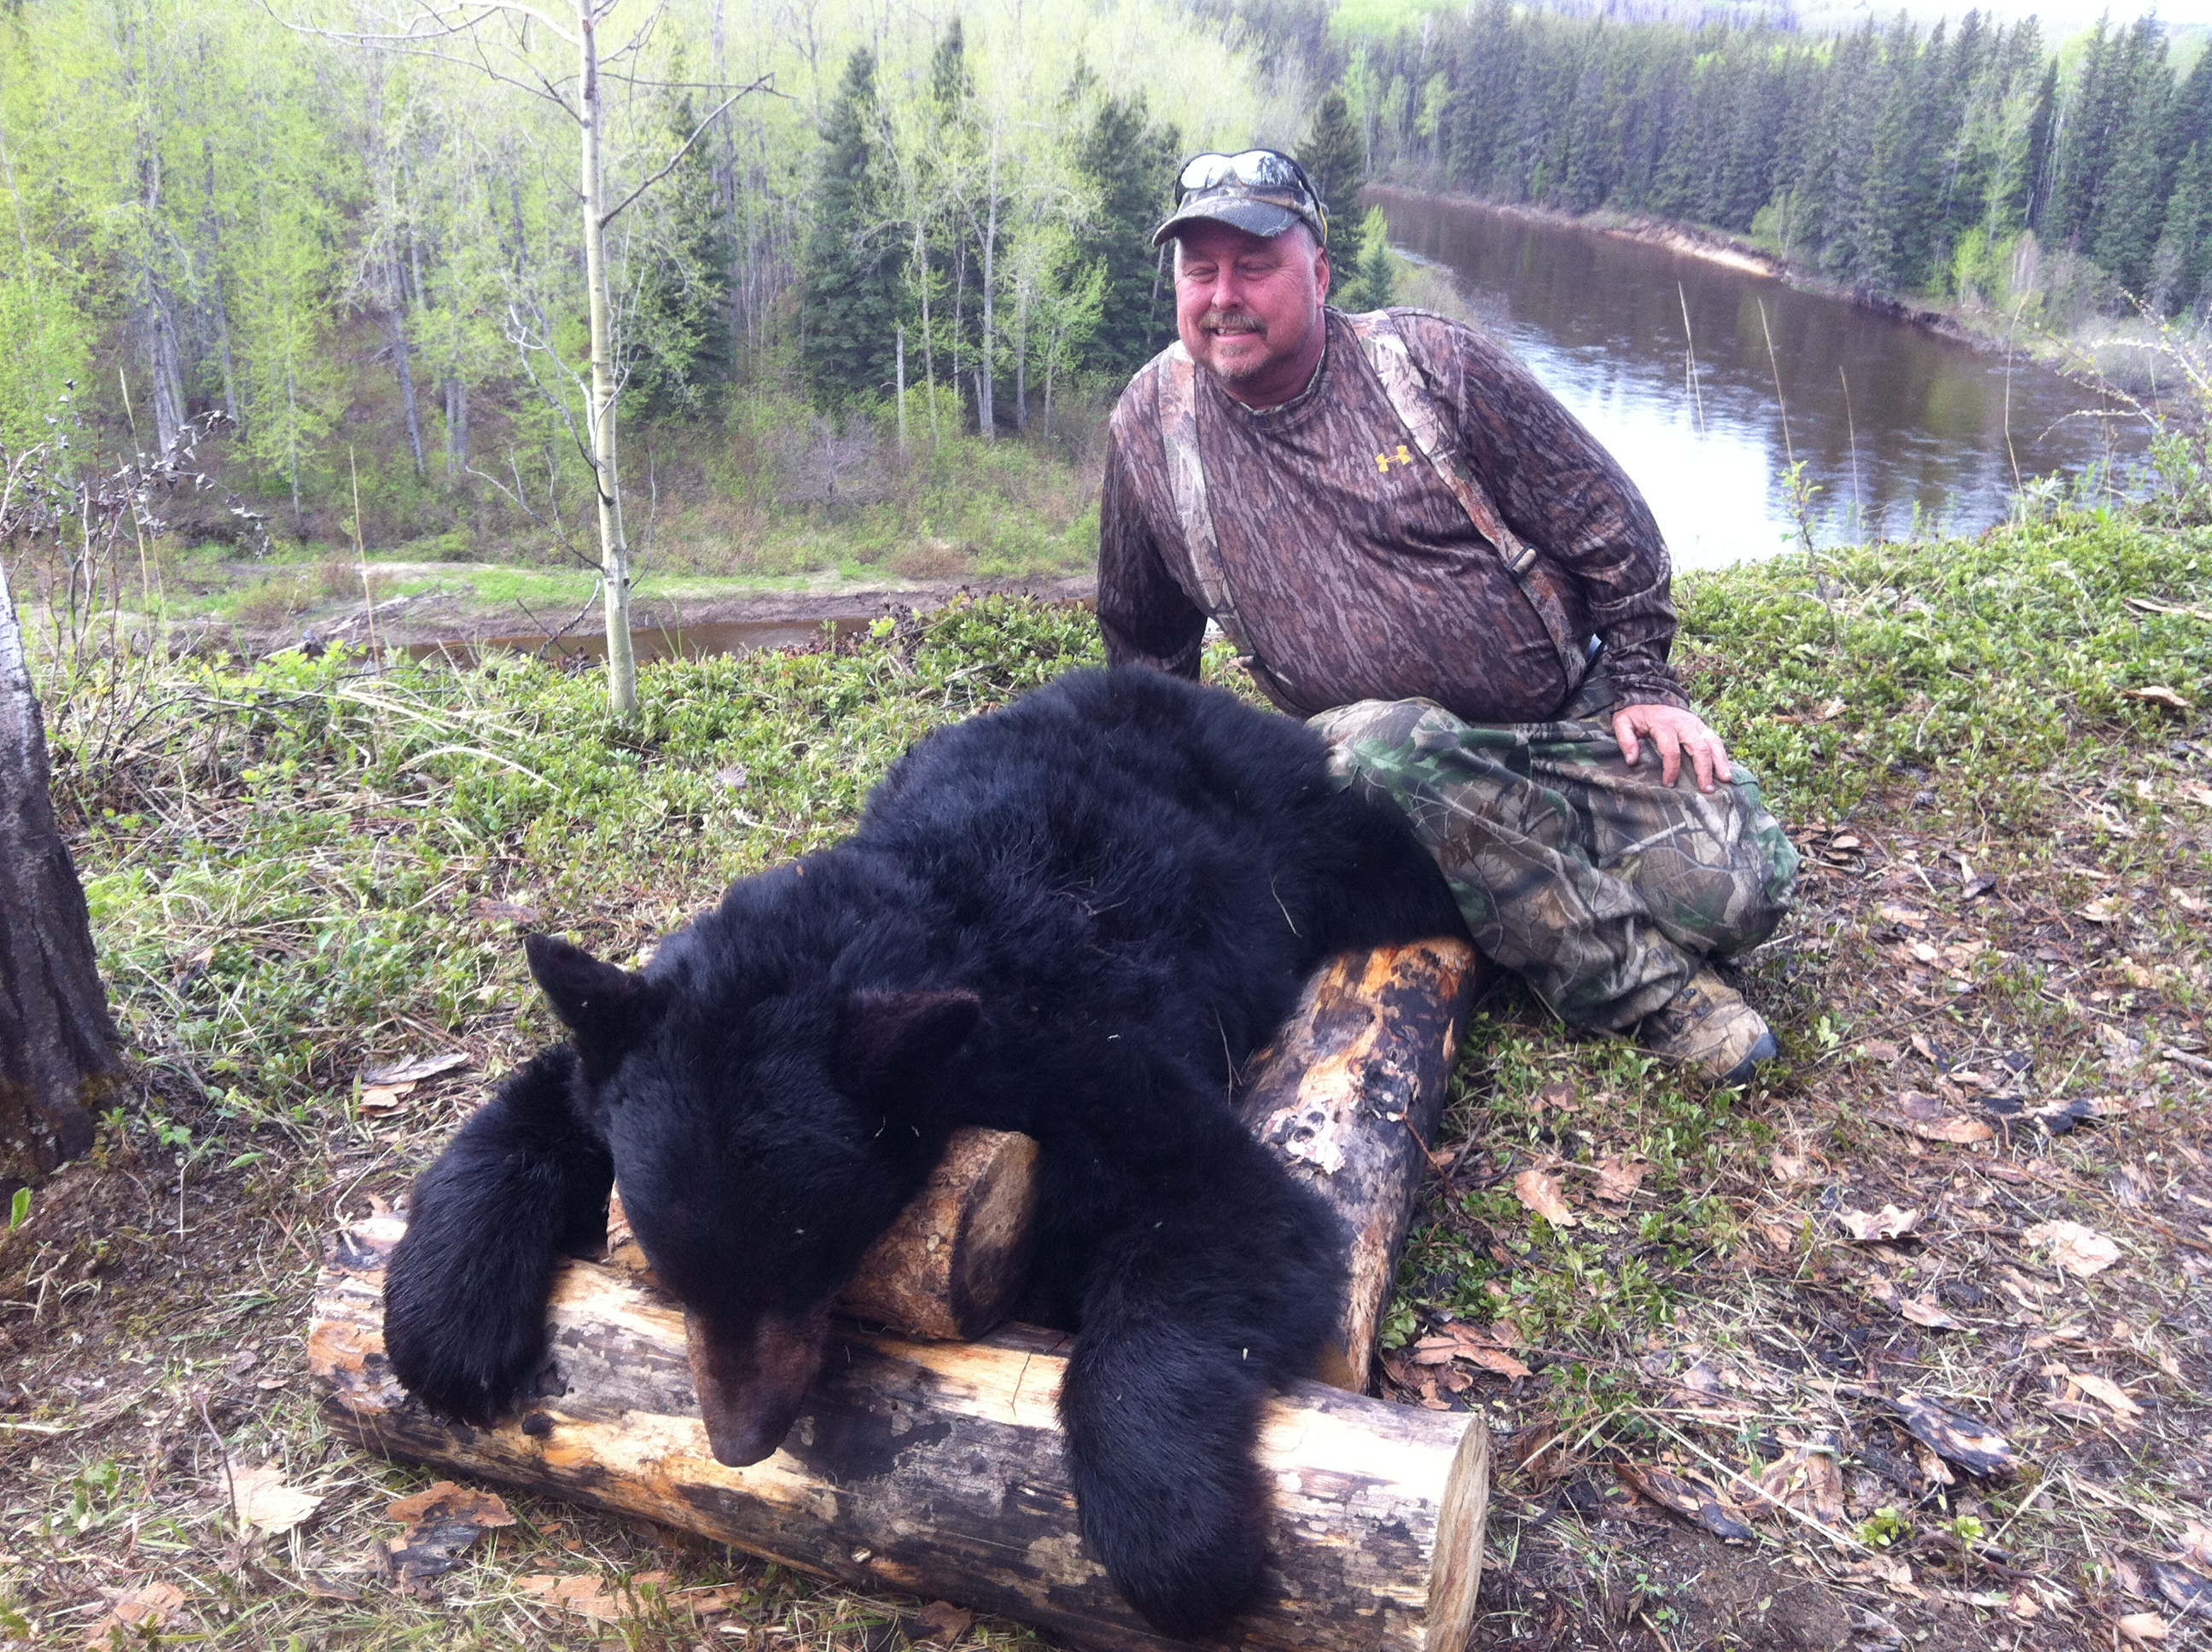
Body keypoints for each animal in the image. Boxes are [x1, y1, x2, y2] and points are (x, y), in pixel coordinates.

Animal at [382, 665, 1467, 1637]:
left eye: (807, 1258)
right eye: (671, 1264)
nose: (739, 1443)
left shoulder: (1080, 1058)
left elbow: (1234, 1212)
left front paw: (1182, 1539)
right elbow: (545, 1101)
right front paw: (445, 1319)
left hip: (1329, 840)